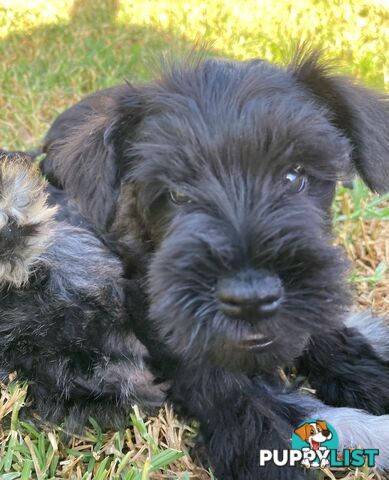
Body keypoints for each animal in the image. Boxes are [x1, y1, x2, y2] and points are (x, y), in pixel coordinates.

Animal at [18, 50, 389, 478]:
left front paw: (369, 377)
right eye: (177, 194)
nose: (250, 298)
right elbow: (232, 394)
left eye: (294, 176)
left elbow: (320, 326)